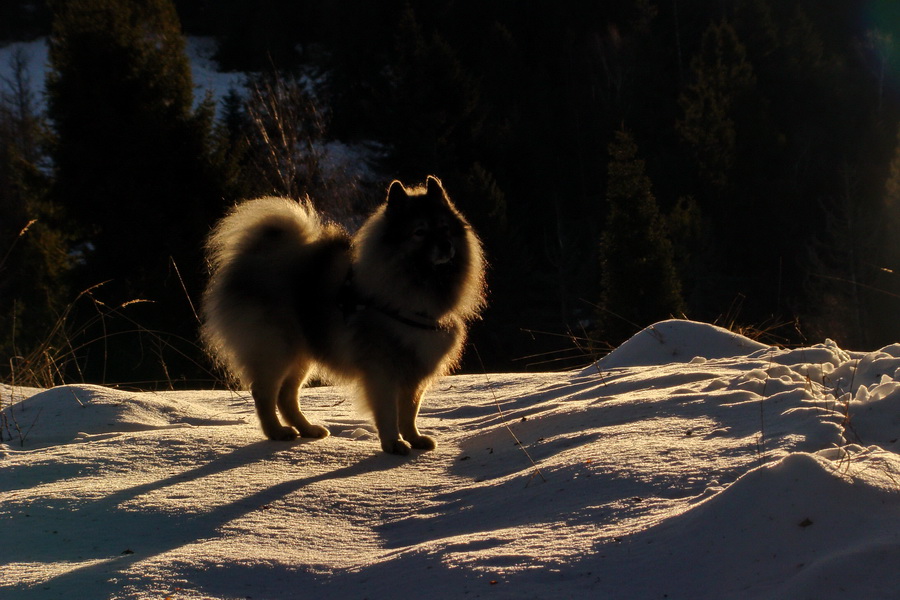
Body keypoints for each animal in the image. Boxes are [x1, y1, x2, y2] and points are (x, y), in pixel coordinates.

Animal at [202, 177, 486, 454]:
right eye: (420, 232)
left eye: (445, 228)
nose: (446, 245)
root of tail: (254, 258)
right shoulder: (382, 371)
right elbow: (388, 412)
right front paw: (393, 443)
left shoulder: (415, 372)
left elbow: (409, 411)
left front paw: (414, 439)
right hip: (276, 350)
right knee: (264, 393)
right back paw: (277, 432)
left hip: (301, 356)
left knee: (286, 396)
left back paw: (307, 429)